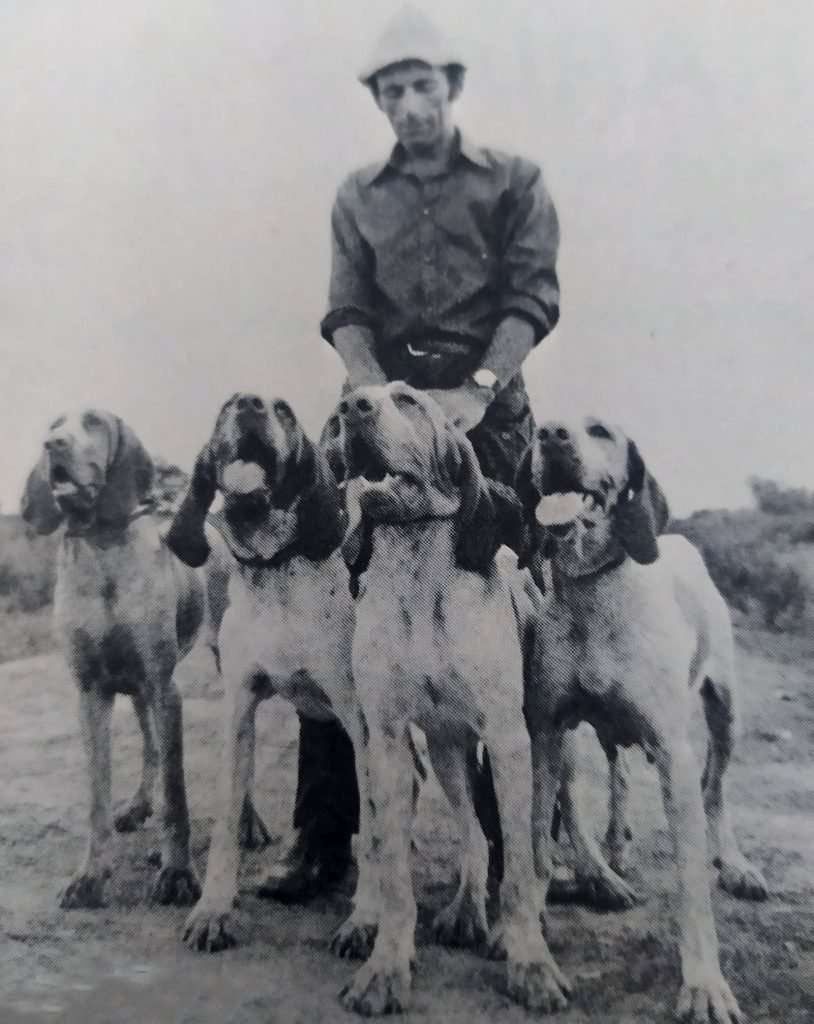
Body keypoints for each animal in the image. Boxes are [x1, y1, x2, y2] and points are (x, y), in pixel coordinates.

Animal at [22, 405, 203, 905]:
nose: (53, 446)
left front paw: (177, 872)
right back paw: (139, 804)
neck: (102, 548)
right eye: (53, 426)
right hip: (137, 693)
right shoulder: (91, 693)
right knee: (150, 748)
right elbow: (96, 796)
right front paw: (91, 874)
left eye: (94, 422)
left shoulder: (165, 687)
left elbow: (177, 793)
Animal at [165, 393, 382, 958]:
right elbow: (225, 824)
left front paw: (367, 920)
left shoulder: (363, 725)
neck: (277, 569)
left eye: (283, 410)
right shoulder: (240, 708)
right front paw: (213, 911)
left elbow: (377, 826)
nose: (250, 404)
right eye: (226, 404)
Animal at [516, 413, 769, 1024]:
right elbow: (535, 844)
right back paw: (614, 849)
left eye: (600, 430)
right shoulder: (546, 733)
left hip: (725, 712)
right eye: (541, 431)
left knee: (715, 787)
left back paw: (734, 862)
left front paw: (704, 985)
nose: (551, 435)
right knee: (617, 773)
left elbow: (692, 884)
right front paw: (531, 949)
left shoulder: (673, 751)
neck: (591, 589)